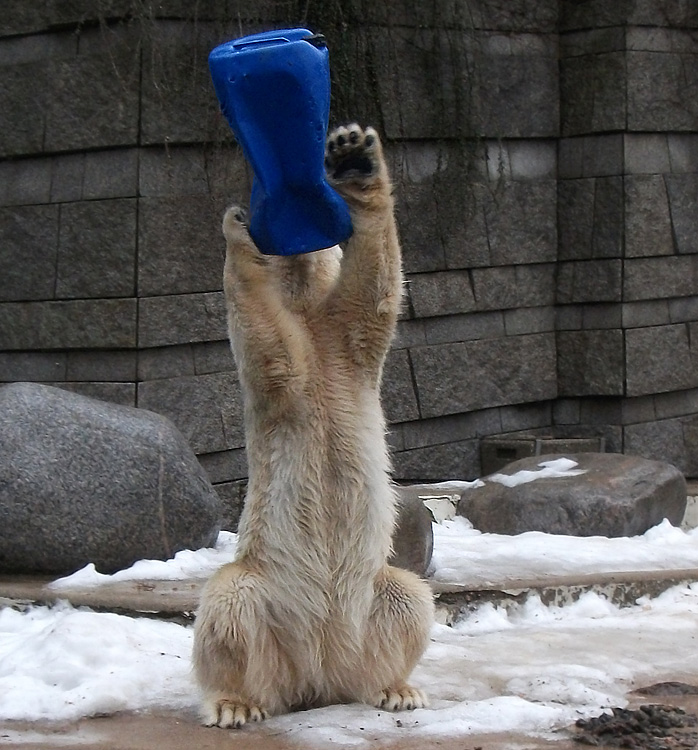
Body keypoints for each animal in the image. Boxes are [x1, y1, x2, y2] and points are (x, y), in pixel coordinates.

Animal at [193, 123, 432, 728]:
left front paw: (355, 160)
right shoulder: (289, 376)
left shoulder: (346, 350)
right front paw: (237, 229)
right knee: (230, 600)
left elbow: (375, 292)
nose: (299, 242)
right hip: (267, 597)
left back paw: (396, 688)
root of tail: (318, 676)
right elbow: (272, 352)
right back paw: (235, 703)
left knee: (407, 595)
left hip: (369, 602)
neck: (307, 305)